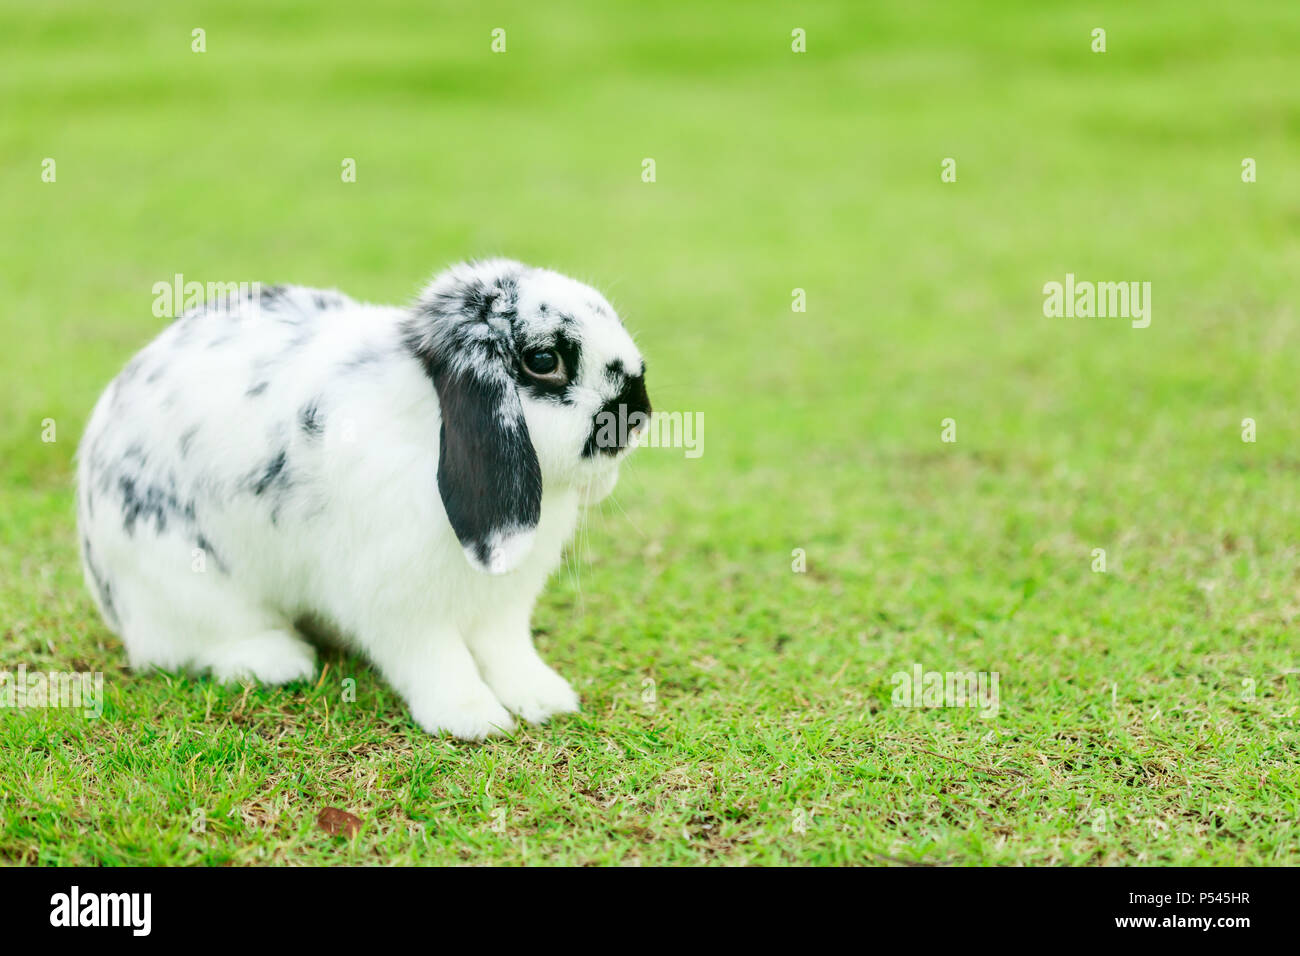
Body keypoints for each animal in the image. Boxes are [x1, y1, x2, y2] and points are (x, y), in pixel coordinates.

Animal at [75, 259, 651, 739]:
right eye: (543, 359)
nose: (639, 413)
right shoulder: (400, 604)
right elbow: (437, 660)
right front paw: (472, 719)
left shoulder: (500, 607)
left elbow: (507, 652)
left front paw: (545, 699)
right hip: (191, 586)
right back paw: (279, 660)